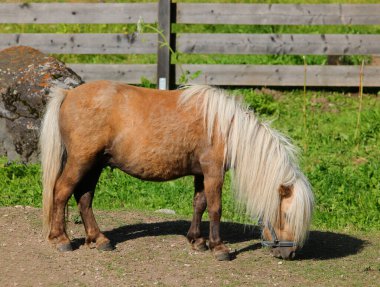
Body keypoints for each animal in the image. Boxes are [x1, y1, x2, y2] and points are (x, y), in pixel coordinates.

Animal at [40, 80, 314, 260]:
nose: (289, 252)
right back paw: (60, 239)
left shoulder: (201, 174)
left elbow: (199, 204)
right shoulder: (213, 173)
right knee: (61, 192)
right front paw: (218, 247)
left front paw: (197, 240)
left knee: (84, 198)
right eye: (287, 215)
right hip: (81, 162)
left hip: (95, 164)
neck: (225, 128)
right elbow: (215, 208)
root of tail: (68, 93)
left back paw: (99, 239)